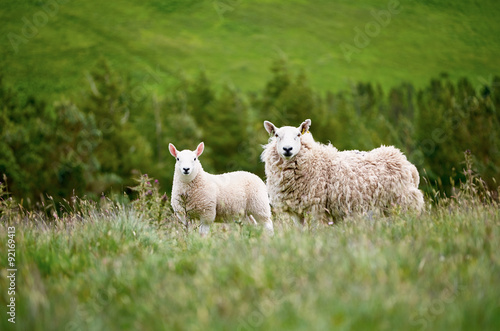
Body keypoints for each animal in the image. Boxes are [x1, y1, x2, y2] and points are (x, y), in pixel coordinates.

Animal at [260, 118, 424, 224]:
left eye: (298, 135)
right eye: (276, 135)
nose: (287, 149)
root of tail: (407, 164)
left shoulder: (316, 209)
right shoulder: (298, 213)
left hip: (402, 203)